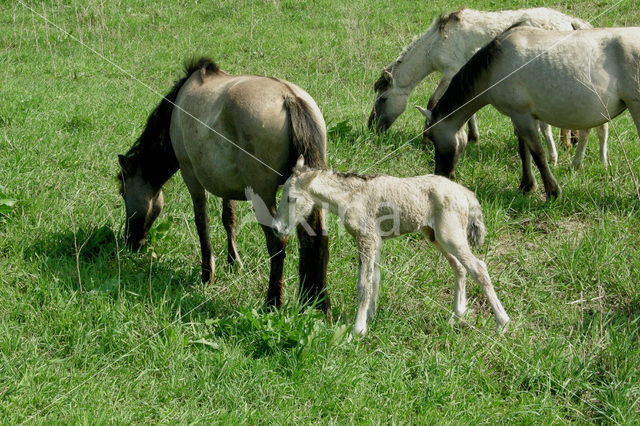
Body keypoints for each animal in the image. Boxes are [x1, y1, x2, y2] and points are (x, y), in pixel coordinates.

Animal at [272, 156, 510, 340]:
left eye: (291, 198)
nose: (277, 228)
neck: (351, 196)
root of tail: (465, 193)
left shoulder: (366, 238)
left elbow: (363, 284)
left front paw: (357, 330)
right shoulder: (375, 241)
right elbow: (375, 278)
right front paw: (371, 318)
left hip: (450, 236)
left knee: (479, 268)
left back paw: (502, 323)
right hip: (435, 236)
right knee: (460, 267)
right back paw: (456, 316)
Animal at [368, 7, 608, 166]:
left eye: (382, 99)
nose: (372, 128)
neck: (438, 41)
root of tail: (572, 22)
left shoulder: (451, 72)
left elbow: (433, 101)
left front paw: (426, 139)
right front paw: (473, 136)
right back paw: (568, 141)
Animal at [418, 26, 640, 200]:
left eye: (433, 137)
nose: (441, 175)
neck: (495, 65)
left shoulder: (522, 116)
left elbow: (537, 153)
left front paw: (552, 192)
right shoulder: (518, 116)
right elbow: (524, 150)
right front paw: (526, 185)